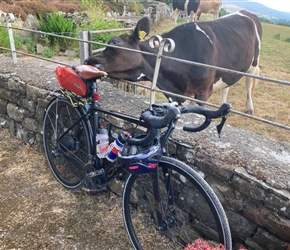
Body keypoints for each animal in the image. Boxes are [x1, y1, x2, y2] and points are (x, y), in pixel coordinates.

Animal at [84, 10, 262, 114]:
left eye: (114, 42)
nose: (88, 60)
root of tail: (246, 12)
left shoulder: (203, 92)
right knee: (226, 87)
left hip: (253, 64)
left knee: (248, 84)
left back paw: (250, 108)